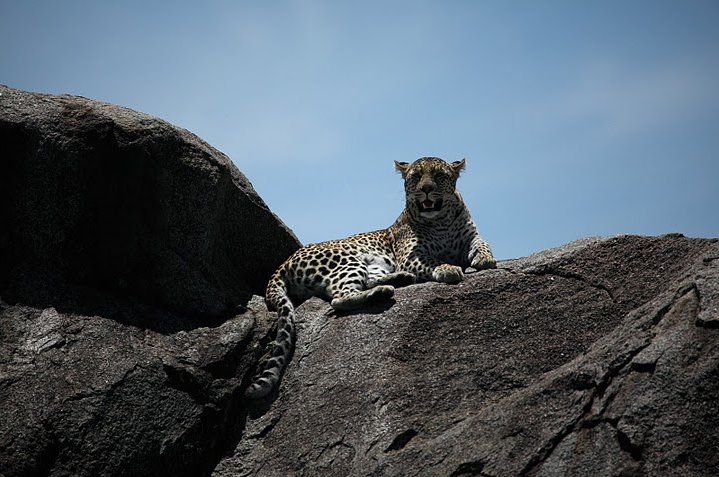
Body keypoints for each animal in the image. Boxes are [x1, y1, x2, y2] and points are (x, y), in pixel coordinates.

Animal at [246, 156, 496, 398]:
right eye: (415, 177)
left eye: (438, 176)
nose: (425, 189)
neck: (441, 220)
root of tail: (283, 264)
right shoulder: (411, 255)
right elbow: (432, 262)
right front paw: (447, 268)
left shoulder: (470, 237)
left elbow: (482, 243)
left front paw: (485, 259)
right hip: (348, 261)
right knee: (339, 298)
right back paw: (382, 292)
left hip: (372, 266)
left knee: (362, 283)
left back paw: (400, 279)